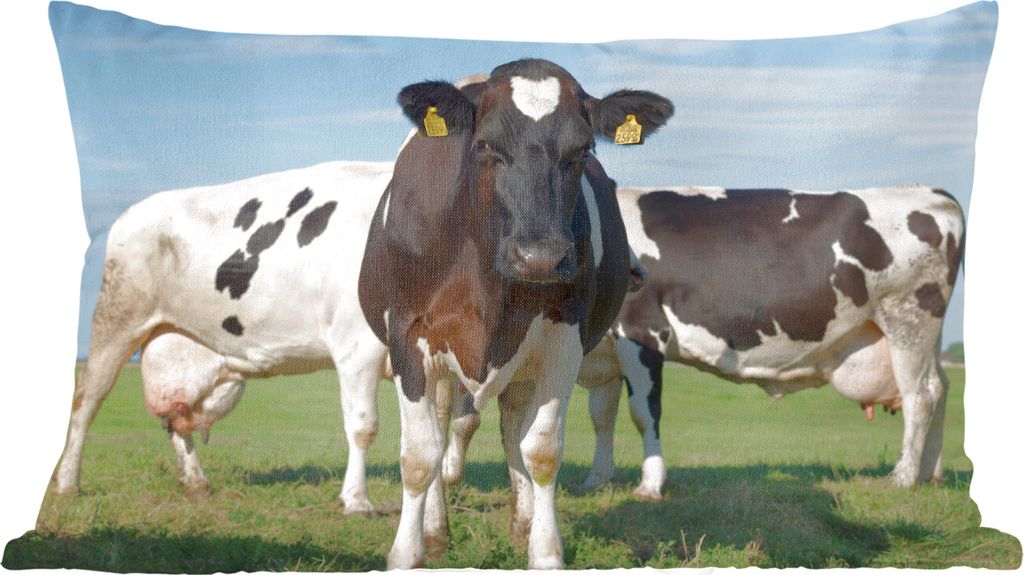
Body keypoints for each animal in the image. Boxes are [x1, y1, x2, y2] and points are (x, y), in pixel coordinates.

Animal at [53, 160, 394, 514]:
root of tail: (132, 211)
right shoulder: (357, 344)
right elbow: (364, 426)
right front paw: (357, 502)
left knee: (174, 416)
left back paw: (196, 483)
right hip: (116, 318)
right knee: (87, 398)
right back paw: (67, 483)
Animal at [357, 58, 673, 569]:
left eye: (583, 149)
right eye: (484, 144)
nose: (540, 257)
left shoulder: (563, 341)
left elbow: (540, 451)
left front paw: (544, 551)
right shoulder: (408, 337)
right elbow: (421, 455)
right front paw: (406, 553)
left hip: (525, 360)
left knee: (512, 431)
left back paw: (522, 522)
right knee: (445, 427)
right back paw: (435, 529)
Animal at [443, 184, 964, 499]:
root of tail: (933, 195)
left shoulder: (642, 333)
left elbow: (643, 412)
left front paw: (650, 484)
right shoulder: (604, 350)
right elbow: (602, 415)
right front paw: (597, 478)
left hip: (908, 317)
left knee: (920, 395)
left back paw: (902, 478)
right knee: (940, 390)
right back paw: (932, 473)